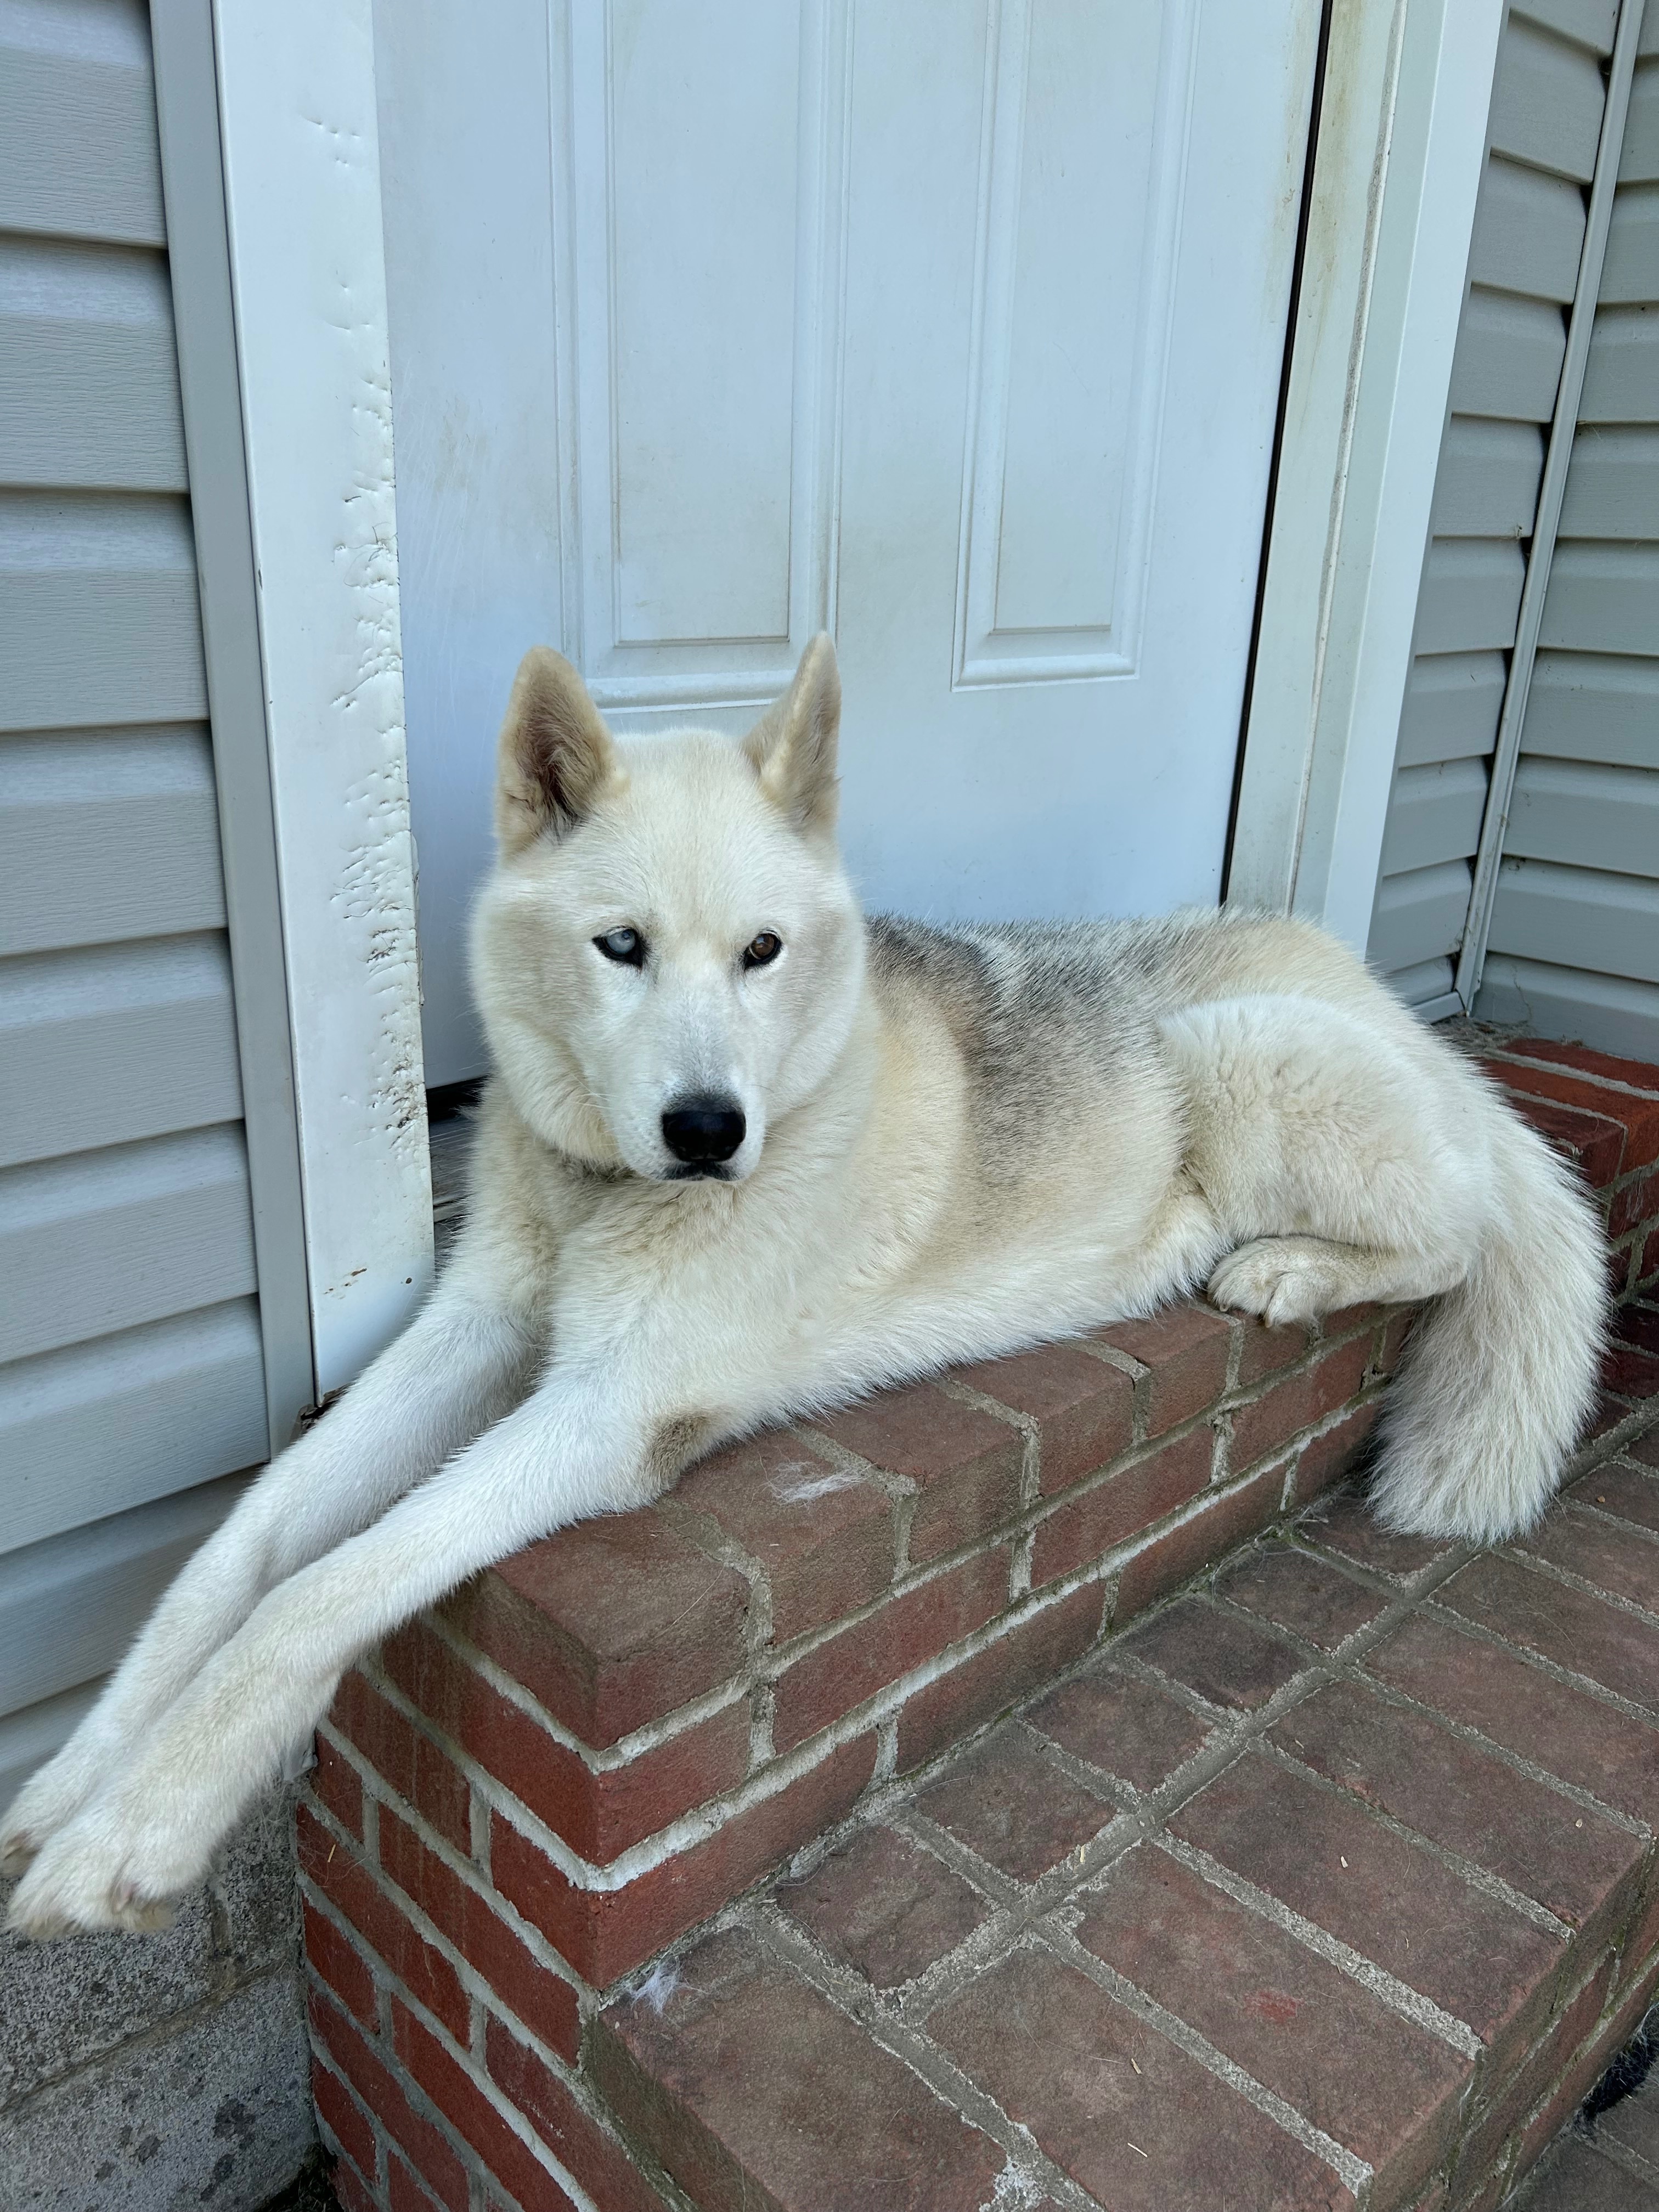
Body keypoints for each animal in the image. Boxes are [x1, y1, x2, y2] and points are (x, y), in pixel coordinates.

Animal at [1, 634, 1605, 1937]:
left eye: (761, 952)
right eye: (622, 947)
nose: (711, 1130)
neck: (601, 1198)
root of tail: (1399, 1006)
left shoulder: (605, 1412)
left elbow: (322, 1590)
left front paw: (140, 1832)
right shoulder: (473, 1330)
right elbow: (243, 1546)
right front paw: (78, 1777)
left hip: (1242, 1056)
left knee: (1459, 1231)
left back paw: (1290, 1266)